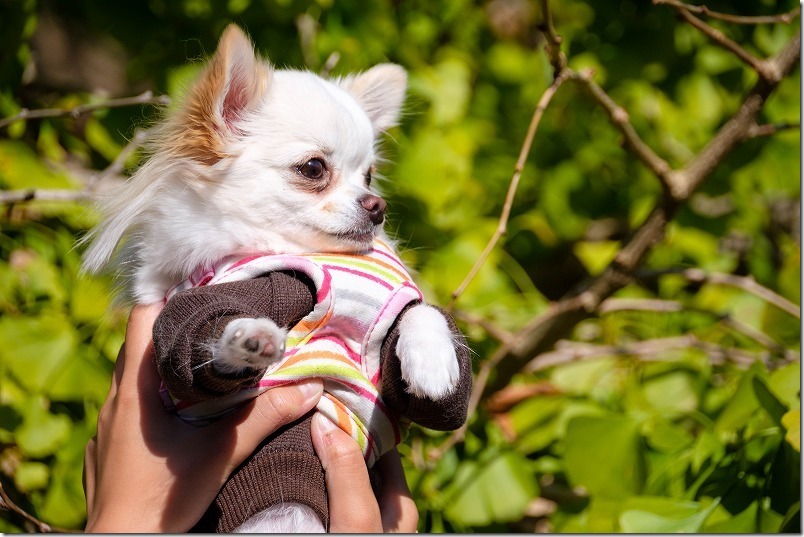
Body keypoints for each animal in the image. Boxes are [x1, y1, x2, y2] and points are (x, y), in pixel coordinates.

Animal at [81, 23, 464, 528]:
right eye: (314, 168)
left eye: (369, 176)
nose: (377, 206)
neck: (287, 248)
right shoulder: (188, 335)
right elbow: (197, 340)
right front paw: (251, 338)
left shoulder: (388, 323)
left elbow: (421, 315)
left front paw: (435, 365)